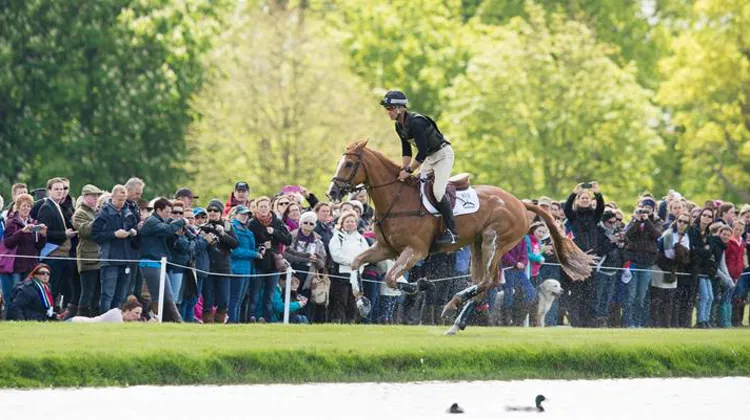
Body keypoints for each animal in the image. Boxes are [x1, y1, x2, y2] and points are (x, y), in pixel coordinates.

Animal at [327, 140, 593, 334]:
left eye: (349, 164)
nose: (332, 192)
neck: (397, 198)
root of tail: (520, 202)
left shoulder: (415, 250)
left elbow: (392, 278)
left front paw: (421, 284)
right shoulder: (386, 248)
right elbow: (357, 262)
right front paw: (362, 303)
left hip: (492, 241)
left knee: (486, 281)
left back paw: (453, 304)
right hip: (478, 245)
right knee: (487, 282)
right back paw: (457, 322)